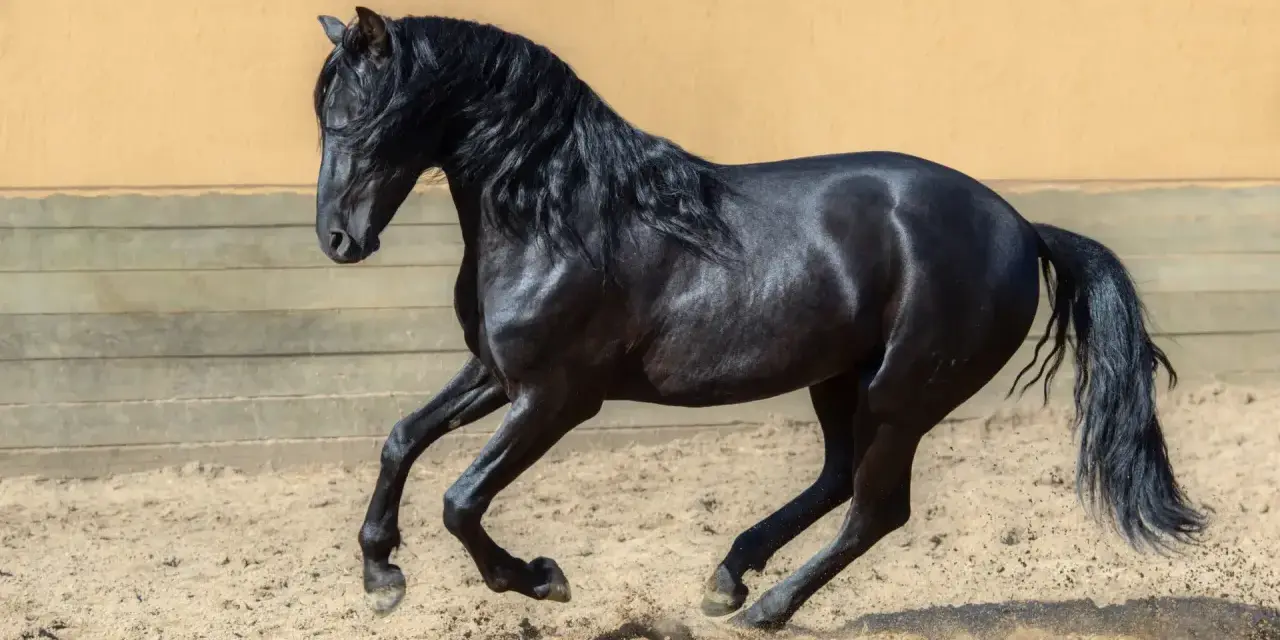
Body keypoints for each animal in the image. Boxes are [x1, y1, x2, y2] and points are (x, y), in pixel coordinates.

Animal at [312, 7, 1207, 631]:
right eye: (322, 119)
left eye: (366, 117)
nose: (337, 240)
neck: (561, 219)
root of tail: (1022, 226)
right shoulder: (498, 375)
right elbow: (401, 439)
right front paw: (382, 577)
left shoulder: (557, 399)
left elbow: (461, 499)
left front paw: (538, 578)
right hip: (842, 380)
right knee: (840, 479)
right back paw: (728, 579)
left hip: (902, 395)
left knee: (876, 509)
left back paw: (767, 606)